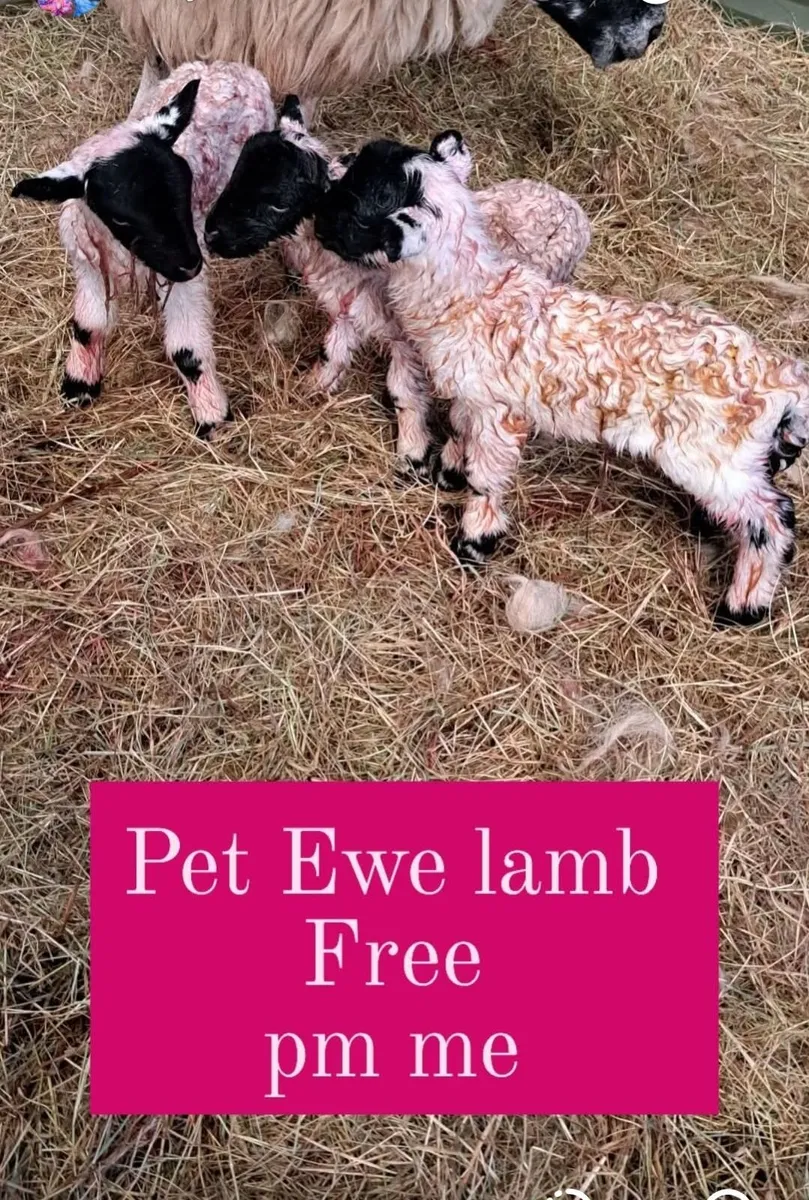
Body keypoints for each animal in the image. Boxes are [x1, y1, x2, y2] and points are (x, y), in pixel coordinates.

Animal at [11, 60, 276, 438]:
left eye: (185, 185)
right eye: (120, 218)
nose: (191, 264)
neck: (125, 256)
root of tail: (228, 65)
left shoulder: (182, 283)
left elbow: (186, 351)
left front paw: (211, 415)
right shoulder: (89, 268)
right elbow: (88, 326)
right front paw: (79, 384)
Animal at [204, 95, 591, 477]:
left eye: (276, 199)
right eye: (236, 174)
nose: (211, 236)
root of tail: (572, 207)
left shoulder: (407, 341)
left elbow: (404, 392)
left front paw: (412, 452)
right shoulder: (351, 310)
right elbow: (331, 352)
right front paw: (311, 386)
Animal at [314, 132, 808, 627]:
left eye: (363, 203)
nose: (317, 224)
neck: (475, 300)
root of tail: (779, 377)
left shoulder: (500, 413)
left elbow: (487, 478)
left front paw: (474, 542)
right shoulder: (472, 399)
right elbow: (460, 435)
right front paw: (449, 470)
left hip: (710, 457)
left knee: (775, 518)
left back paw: (741, 607)